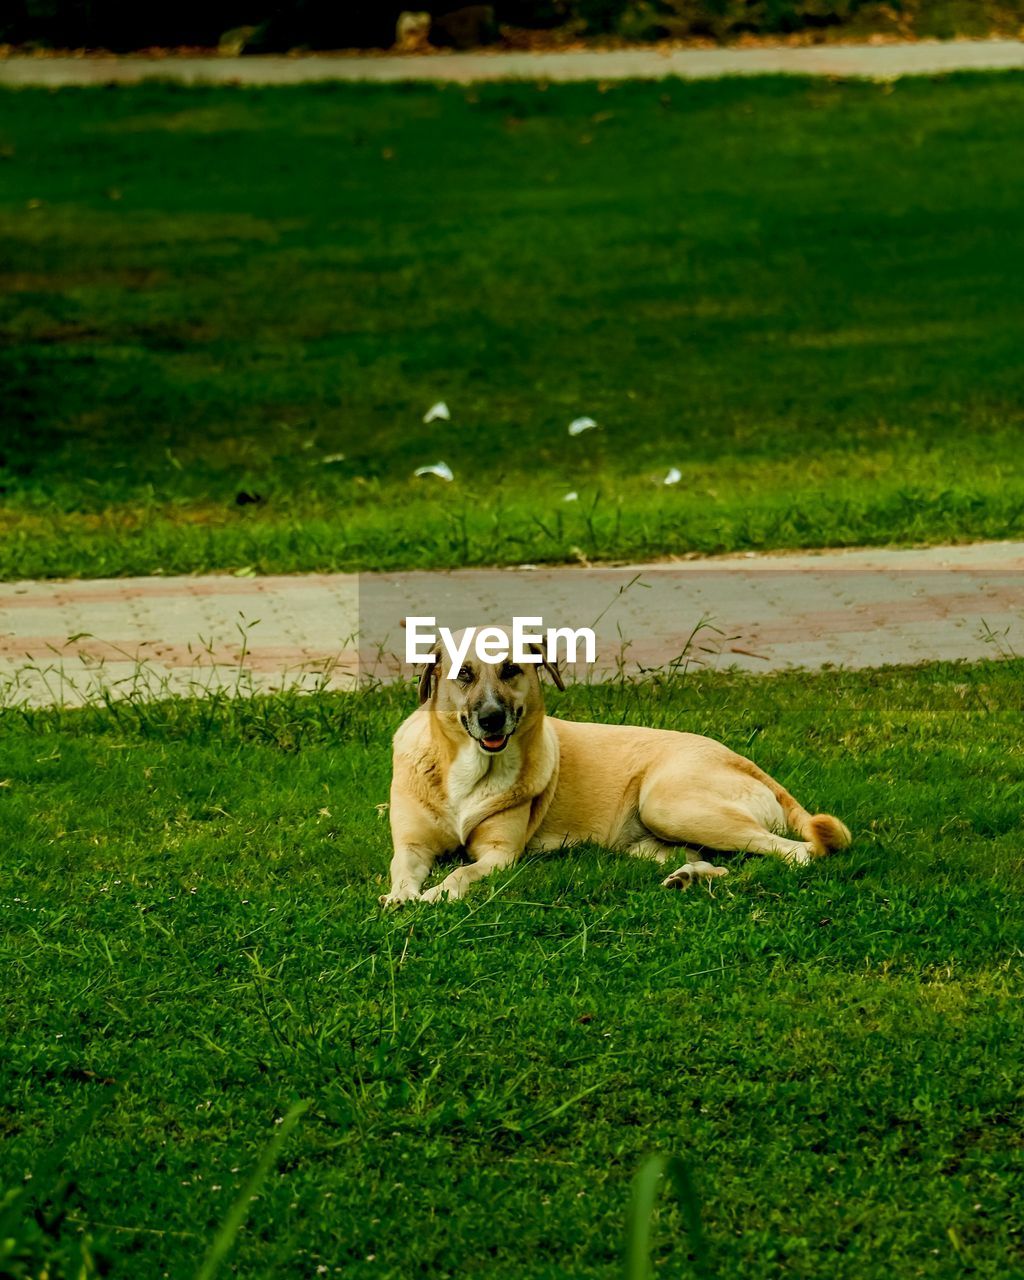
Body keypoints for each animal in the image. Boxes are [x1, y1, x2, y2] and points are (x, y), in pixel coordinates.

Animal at [378, 624, 849, 906]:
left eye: (511, 670)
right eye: (464, 674)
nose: (492, 718)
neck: (468, 769)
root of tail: (744, 761)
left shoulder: (498, 855)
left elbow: (461, 873)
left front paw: (435, 894)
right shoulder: (412, 847)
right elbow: (401, 873)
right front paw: (401, 897)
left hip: (670, 804)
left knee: (797, 854)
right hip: (654, 840)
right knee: (727, 860)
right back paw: (690, 877)